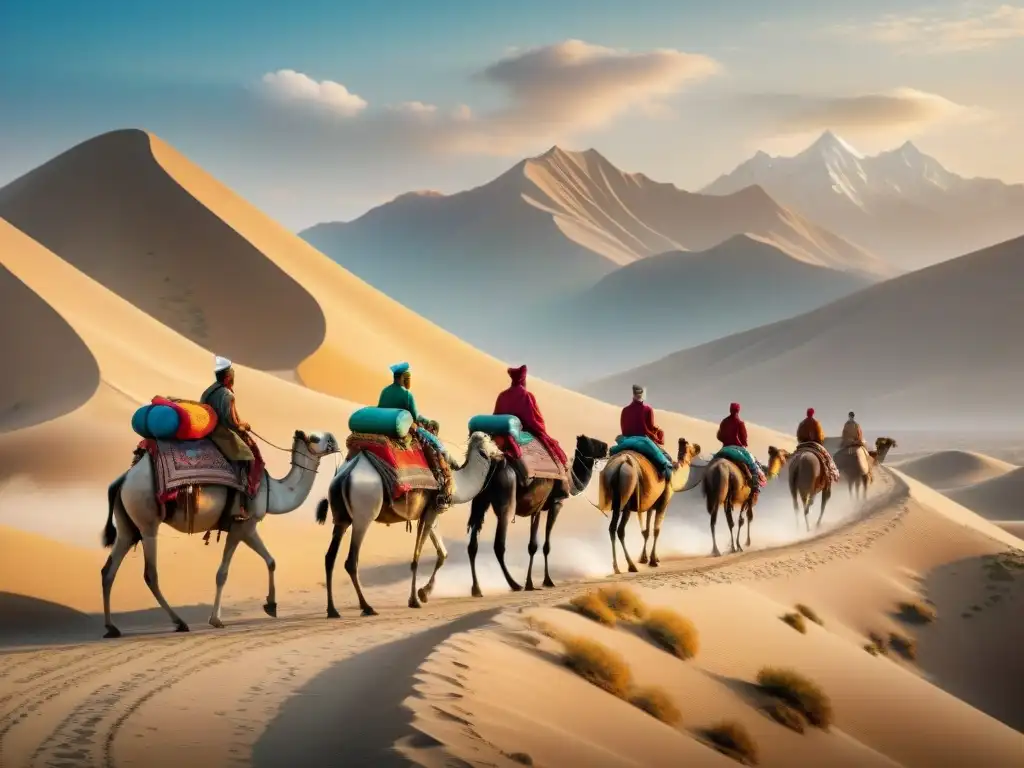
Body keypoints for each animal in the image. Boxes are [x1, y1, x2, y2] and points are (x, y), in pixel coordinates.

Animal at [101, 430, 339, 638]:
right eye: (315, 438)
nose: (335, 442)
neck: (272, 491)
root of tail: (123, 480)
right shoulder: (241, 526)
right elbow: (222, 574)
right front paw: (216, 619)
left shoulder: (247, 528)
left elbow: (271, 561)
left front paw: (271, 605)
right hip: (147, 521)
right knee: (150, 573)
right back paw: (180, 622)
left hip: (127, 525)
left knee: (108, 571)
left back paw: (112, 628)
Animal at [313, 434, 501, 618]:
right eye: (490, 439)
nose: (501, 453)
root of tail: (346, 474)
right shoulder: (433, 510)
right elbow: (417, 557)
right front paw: (415, 599)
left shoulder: (429, 513)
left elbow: (442, 554)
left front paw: (424, 593)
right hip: (363, 515)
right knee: (351, 561)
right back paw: (367, 607)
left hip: (341, 518)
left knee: (330, 557)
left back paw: (332, 610)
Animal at [468, 436, 606, 598]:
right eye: (593, 443)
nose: (607, 447)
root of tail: (494, 465)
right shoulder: (556, 502)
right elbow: (543, 545)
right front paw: (543, 581)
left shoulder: (537, 508)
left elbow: (532, 545)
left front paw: (532, 582)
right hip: (506, 495)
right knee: (499, 544)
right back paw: (514, 584)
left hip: (480, 499)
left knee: (472, 544)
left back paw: (477, 589)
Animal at [598, 442, 704, 573]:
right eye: (691, 446)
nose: (698, 446)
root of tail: (620, 465)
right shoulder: (663, 503)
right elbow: (656, 530)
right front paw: (653, 560)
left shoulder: (650, 505)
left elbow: (646, 531)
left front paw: (644, 558)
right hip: (628, 492)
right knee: (620, 530)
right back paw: (631, 566)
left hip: (616, 501)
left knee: (612, 528)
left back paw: (616, 567)